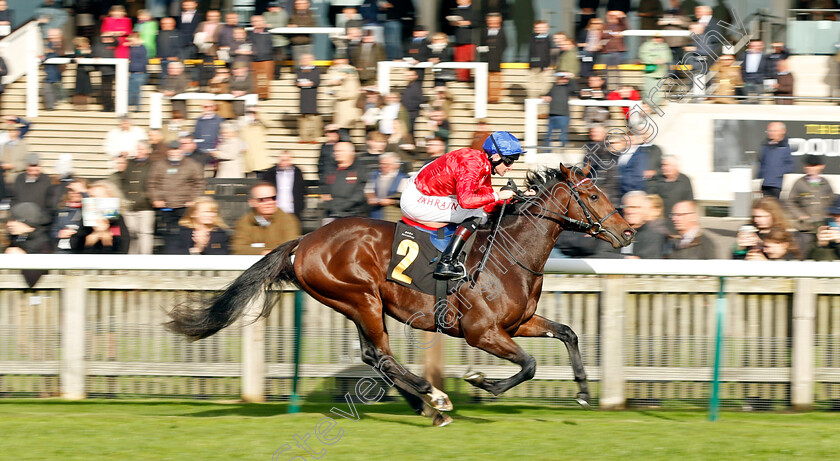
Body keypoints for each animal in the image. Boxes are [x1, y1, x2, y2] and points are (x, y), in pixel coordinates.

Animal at [169, 164, 632, 426]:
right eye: (592, 194)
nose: (628, 231)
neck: (508, 253)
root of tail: (305, 240)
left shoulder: (518, 323)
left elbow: (568, 332)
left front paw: (583, 392)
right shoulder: (481, 332)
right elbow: (531, 365)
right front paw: (481, 382)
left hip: (356, 304)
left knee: (375, 357)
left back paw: (428, 407)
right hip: (361, 298)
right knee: (384, 357)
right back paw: (435, 397)